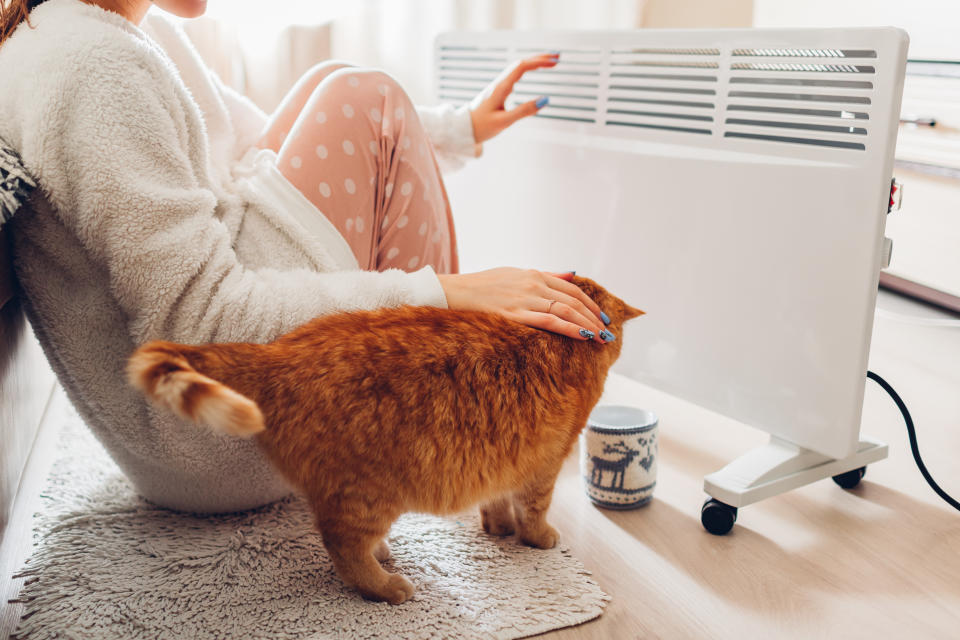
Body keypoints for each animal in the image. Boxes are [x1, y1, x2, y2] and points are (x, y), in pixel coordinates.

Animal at [125, 276, 636, 604]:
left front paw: (499, 529)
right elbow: (534, 511)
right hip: (369, 494)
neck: (560, 341)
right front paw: (536, 537)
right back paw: (387, 585)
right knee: (343, 549)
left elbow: (497, 504)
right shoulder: (545, 465)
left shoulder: (510, 459)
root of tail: (276, 352)